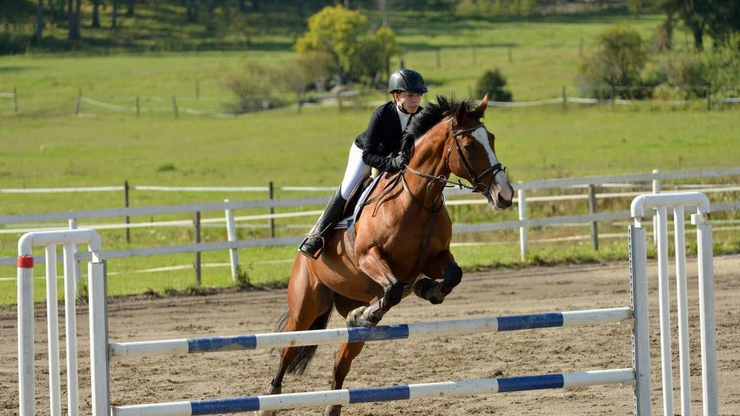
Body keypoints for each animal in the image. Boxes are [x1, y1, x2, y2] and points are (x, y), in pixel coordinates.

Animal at [260, 95, 516, 416]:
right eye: (469, 146)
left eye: (491, 139)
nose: (504, 195)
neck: (419, 199)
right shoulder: (369, 256)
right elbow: (393, 288)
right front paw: (373, 309)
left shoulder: (435, 257)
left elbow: (452, 275)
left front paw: (427, 289)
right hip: (305, 306)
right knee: (288, 348)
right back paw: (271, 400)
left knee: (341, 360)